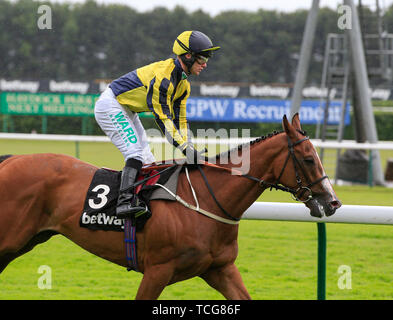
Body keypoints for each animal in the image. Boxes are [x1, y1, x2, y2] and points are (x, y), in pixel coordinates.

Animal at [0, 114, 340, 298]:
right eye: (309, 158)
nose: (333, 202)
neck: (206, 199)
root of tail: (11, 159)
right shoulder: (157, 270)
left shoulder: (220, 269)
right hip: (10, 240)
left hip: (24, 241)